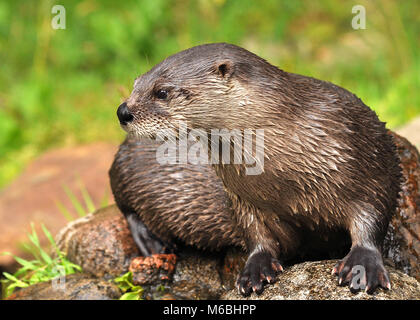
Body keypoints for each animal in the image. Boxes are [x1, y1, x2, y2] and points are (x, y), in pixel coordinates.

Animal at [110, 42, 402, 296]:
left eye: (162, 92)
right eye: (136, 84)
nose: (123, 111)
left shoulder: (370, 162)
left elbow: (374, 214)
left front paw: (361, 265)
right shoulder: (243, 200)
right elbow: (255, 234)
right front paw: (255, 269)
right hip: (125, 171)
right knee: (127, 208)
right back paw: (154, 242)